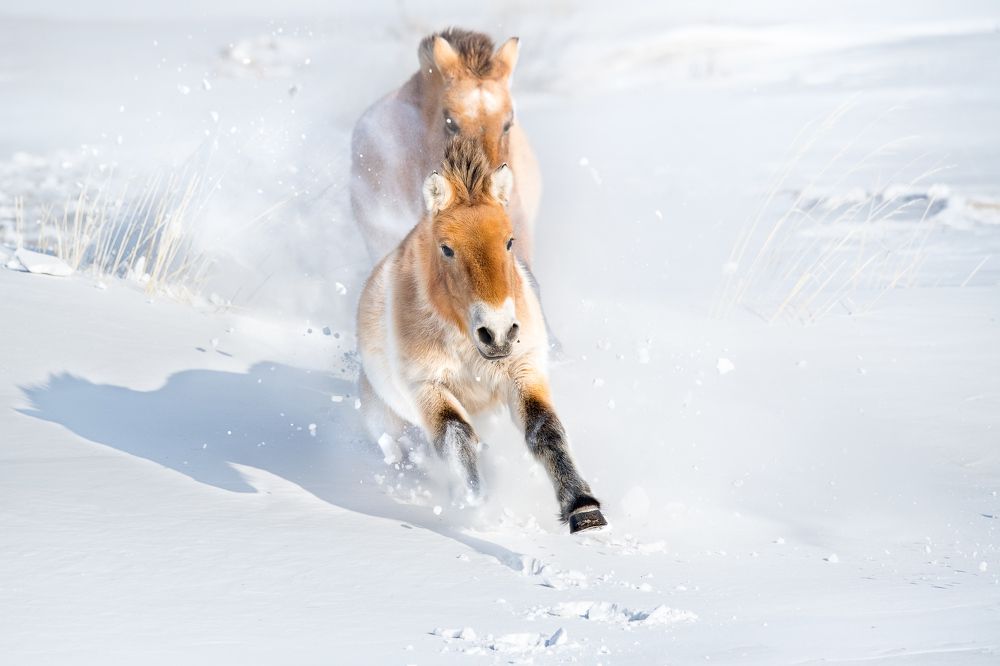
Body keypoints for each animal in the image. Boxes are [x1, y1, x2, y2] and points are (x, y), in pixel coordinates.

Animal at [355, 137, 605, 534]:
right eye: (446, 248)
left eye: (509, 241)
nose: (498, 333)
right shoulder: (426, 387)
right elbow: (456, 435)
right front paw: (477, 502)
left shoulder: (523, 371)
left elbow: (545, 430)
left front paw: (583, 508)